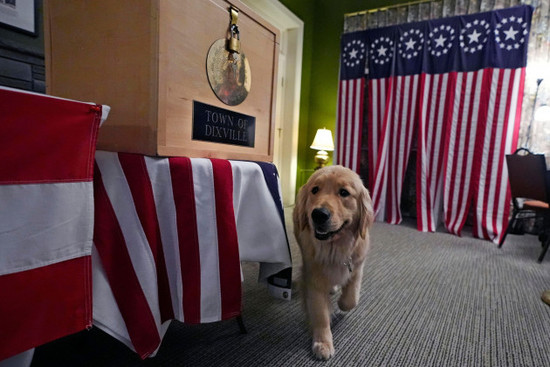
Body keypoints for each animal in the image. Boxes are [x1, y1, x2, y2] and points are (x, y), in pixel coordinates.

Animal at [294, 165, 376, 360]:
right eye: (315, 190)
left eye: (344, 192)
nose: (319, 214)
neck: (336, 248)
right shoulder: (313, 280)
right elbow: (321, 315)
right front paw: (323, 343)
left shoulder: (357, 267)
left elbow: (351, 299)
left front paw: (342, 302)